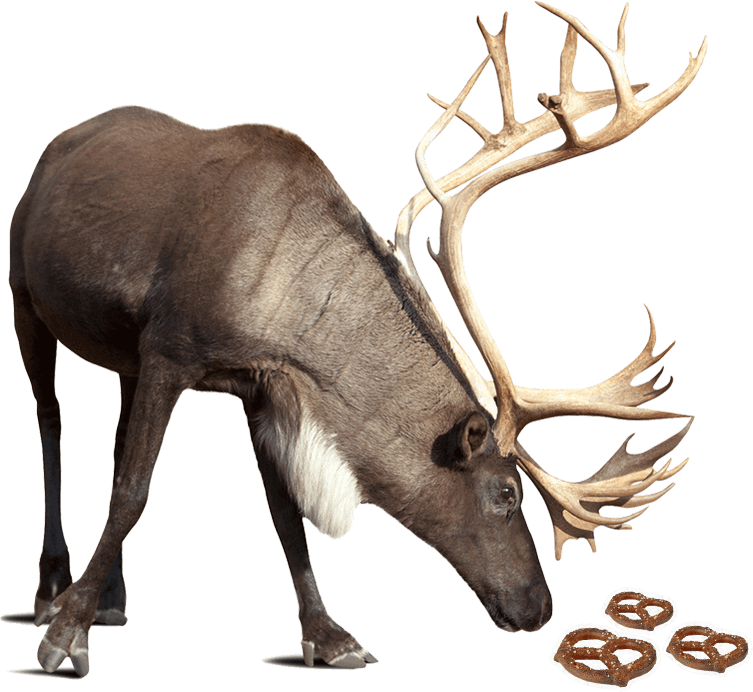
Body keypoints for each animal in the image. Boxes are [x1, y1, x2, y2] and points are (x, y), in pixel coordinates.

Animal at [8, 2, 705, 675]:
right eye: (506, 493)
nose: (539, 608)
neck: (280, 299)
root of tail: (52, 149)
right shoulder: (170, 352)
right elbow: (132, 493)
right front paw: (65, 635)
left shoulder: (260, 387)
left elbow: (284, 514)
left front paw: (329, 638)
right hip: (25, 300)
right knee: (50, 420)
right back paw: (50, 594)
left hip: (122, 355)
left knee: (116, 438)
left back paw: (110, 601)